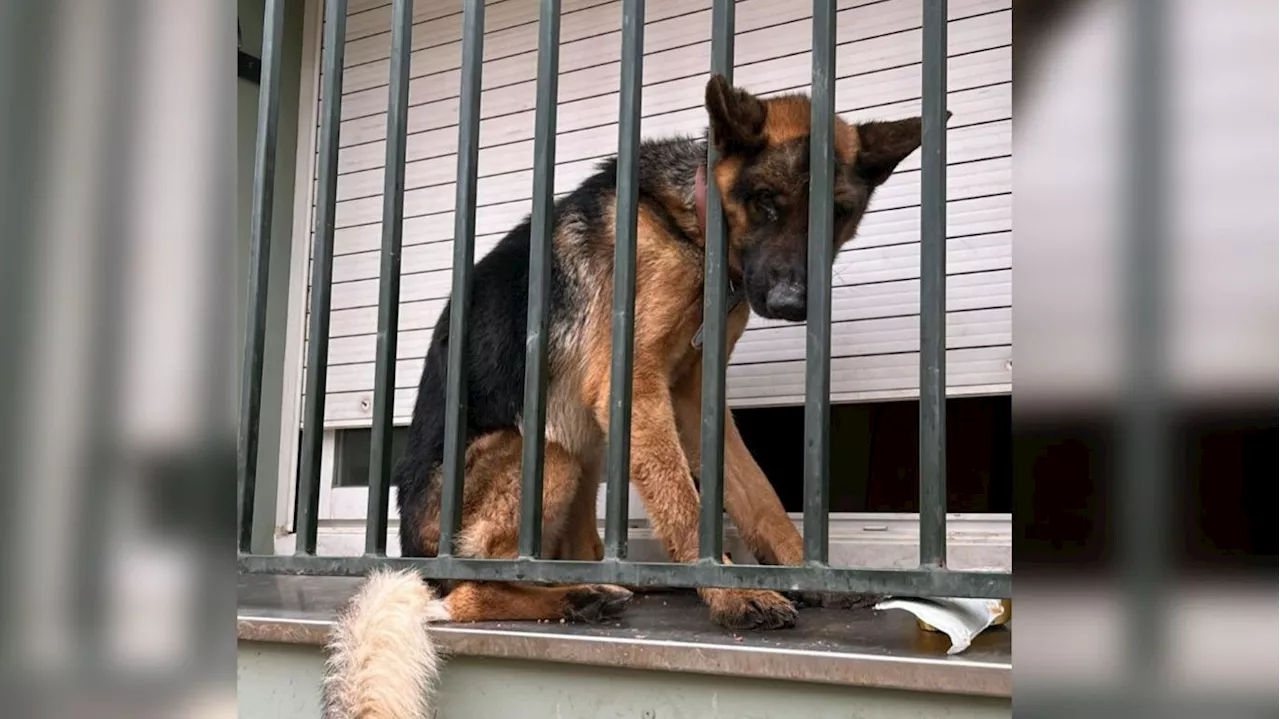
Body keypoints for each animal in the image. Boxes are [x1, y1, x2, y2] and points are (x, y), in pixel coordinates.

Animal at [317, 75, 921, 711]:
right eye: (765, 202)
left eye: (838, 213)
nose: (790, 304)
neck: (689, 228)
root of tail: (413, 553)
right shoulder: (634, 387)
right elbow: (684, 504)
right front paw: (731, 595)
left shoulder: (693, 401)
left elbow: (758, 496)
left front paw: (804, 573)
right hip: (547, 454)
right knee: (464, 597)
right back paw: (573, 599)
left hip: (583, 456)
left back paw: (596, 584)